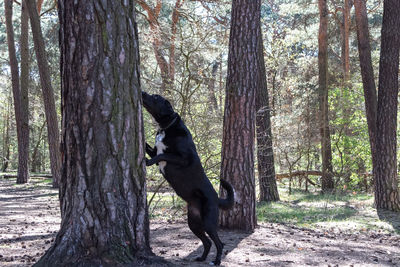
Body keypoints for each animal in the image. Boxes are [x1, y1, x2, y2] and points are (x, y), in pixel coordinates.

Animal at [142, 91, 234, 266]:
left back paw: (216, 261)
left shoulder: (183, 158)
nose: (142, 92)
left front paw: (147, 162)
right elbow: (148, 146)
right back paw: (202, 258)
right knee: (207, 242)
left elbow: (162, 155)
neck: (166, 127)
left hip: (208, 222)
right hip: (193, 223)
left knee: (219, 243)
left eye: (156, 97)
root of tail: (217, 198)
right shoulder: (154, 150)